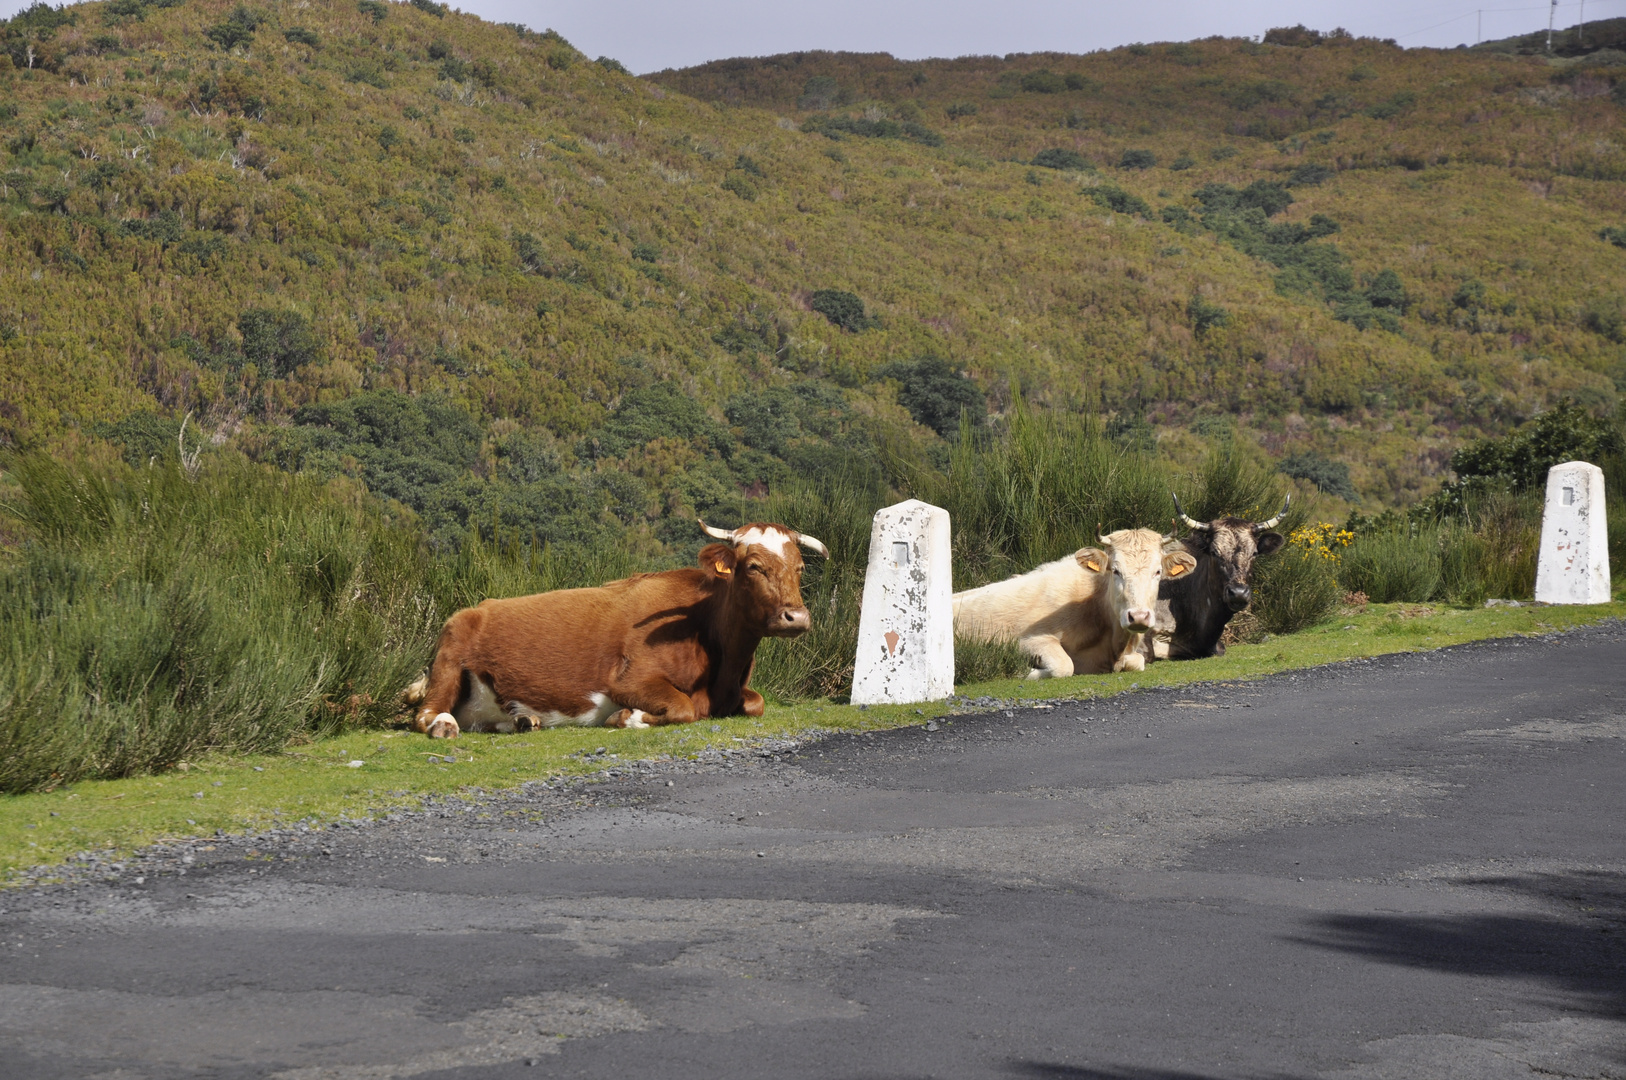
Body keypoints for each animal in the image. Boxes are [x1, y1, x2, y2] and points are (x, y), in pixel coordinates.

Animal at [406, 520, 826, 738]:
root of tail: (478, 607)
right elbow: (684, 708)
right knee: (428, 713)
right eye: (754, 566)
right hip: (450, 655)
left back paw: (524, 720)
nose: (796, 617)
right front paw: (625, 717)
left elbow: (756, 703)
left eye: (800, 568)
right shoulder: (629, 680)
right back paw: (444, 725)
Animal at [949, 530, 1196, 679]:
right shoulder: (1026, 639)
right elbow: (1064, 666)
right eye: (1115, 570)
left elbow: (1138, 662)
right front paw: (1025, 671)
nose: (1138, 616)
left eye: (1158, 571)